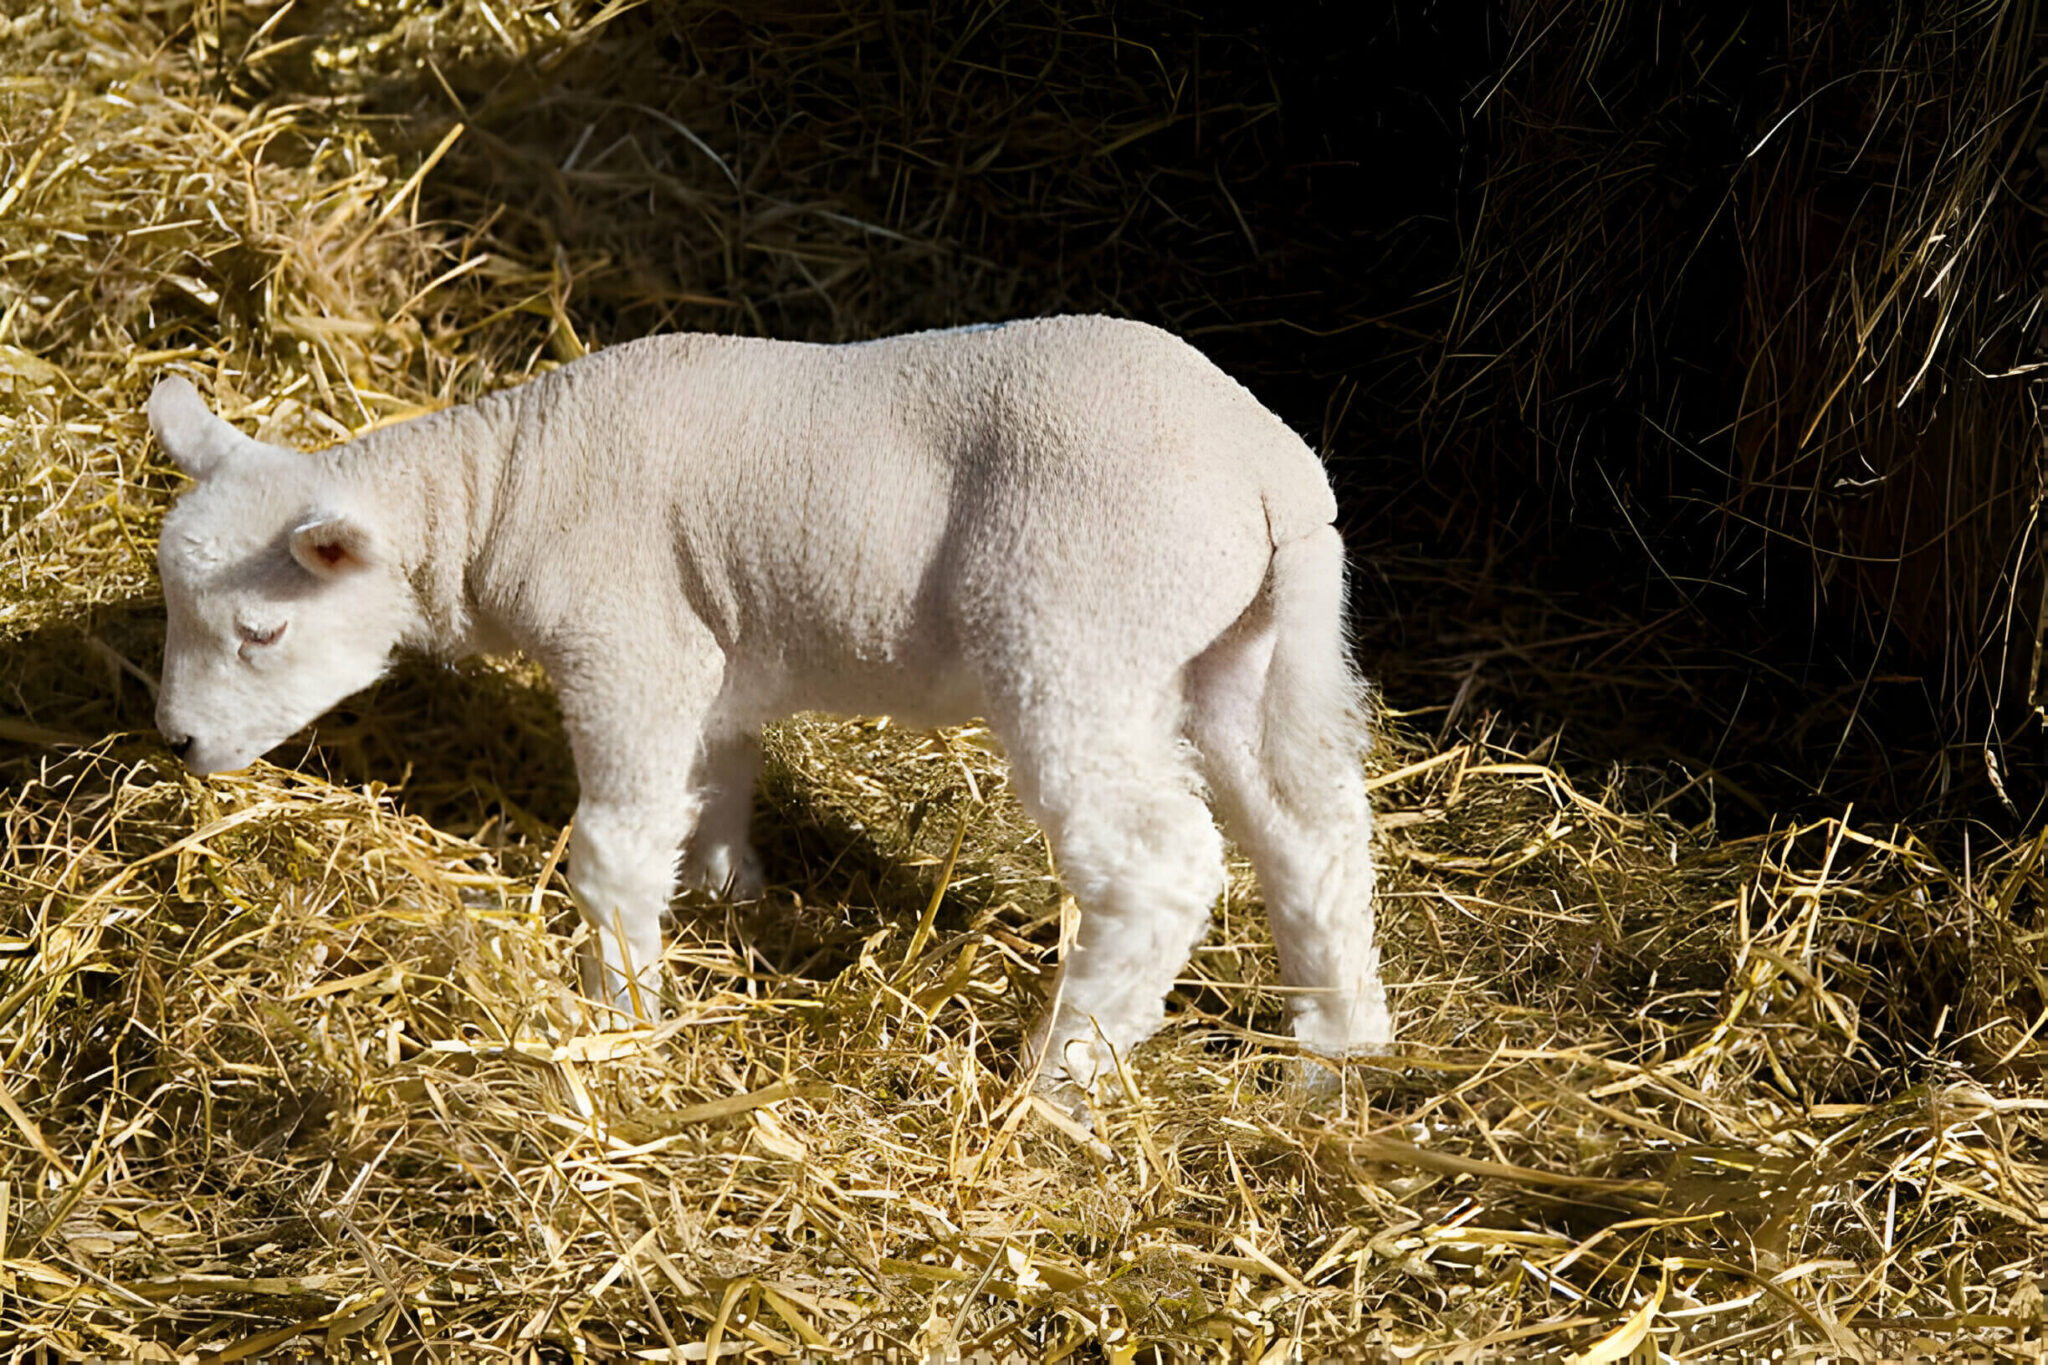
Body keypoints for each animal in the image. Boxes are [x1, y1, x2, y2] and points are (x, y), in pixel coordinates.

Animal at [144, 315, 1392, 1096]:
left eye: (260, 634)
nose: (178, 741)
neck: (496, 493)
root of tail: (1275, 476)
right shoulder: (716, 643)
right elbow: (718, 771)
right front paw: (723, 889)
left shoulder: (629, 645)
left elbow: (611, 847)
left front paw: (618, 1015)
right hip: (1232, 650)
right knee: (1312, 832)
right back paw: (1333, 1049)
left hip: (1078, 627)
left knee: (1157, 862)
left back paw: (1056, 1079)